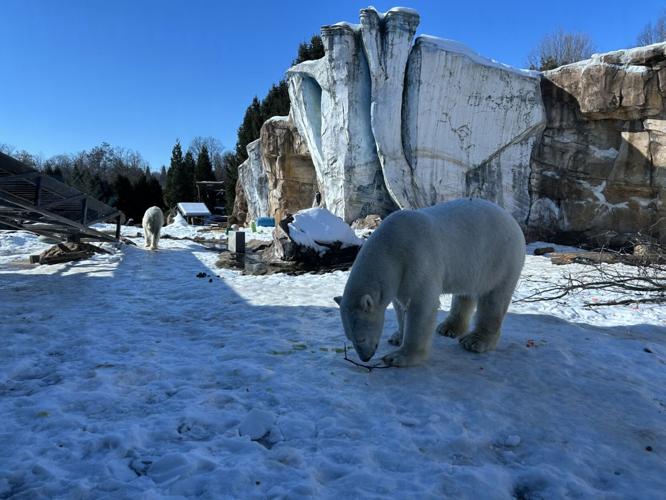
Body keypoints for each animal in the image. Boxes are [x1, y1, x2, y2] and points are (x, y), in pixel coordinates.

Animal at [334, 198, 525, 367]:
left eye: (360, 338)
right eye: (350, 337)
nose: (365, 358)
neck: (390, 249)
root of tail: (512, 220)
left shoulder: (416, 259)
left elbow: (421, 305)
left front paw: (399, 357)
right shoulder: (400, 275)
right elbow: (399, 305)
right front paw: (397, 337)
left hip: (500, 258)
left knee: (494, 300)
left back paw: (475, 341)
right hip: (473, 266)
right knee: (465, 293)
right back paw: (448, 328)